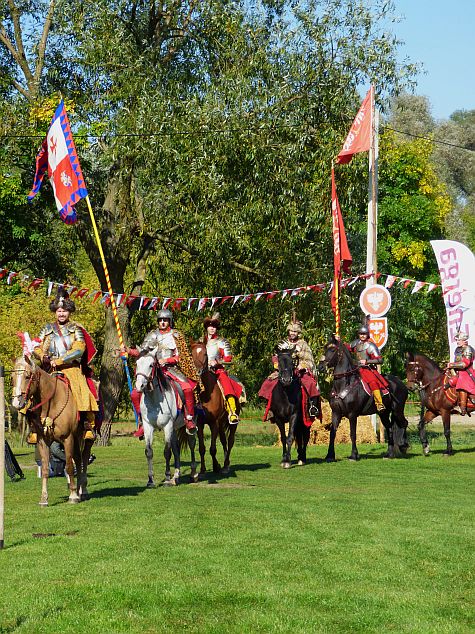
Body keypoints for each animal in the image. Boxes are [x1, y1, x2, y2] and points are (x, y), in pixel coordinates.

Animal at [11, 355, 93, 505]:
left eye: (27, 376)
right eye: (12, 377)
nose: (16, 403)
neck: (53, 402)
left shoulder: (67, 439)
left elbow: (69, 466)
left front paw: (73, 496)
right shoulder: (43, 440)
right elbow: (44, 468)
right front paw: (44, 498)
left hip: (86, 438)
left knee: (83, 459)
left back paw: (82, 491)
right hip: (77, 438)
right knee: (78, 459)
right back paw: (78, 489)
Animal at [135, 348, 197, 486]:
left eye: (151, 365)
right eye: (137, 363)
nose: (139, 386)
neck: (155, 399)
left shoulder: (167, 425)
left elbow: (167, 452)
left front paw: (167, 478)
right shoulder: (148, 426)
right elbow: (149, 451)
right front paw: (150, 480)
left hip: (191, 424)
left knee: (191, 444)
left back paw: (193, 474)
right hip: (173, 429)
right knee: (176, 448)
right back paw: (176, 476)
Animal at [190, 341, 239, 476]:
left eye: (205, 354)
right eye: (191, 353)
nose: (197, 372)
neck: (207, 395)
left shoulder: (214, 423)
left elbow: (212, 449)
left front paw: (216, 466)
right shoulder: (200, 423)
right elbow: (202, 448)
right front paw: (202, 469)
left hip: (231, 424)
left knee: (230, 441)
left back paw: (226, 465)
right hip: (222, 424)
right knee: (223, 440)